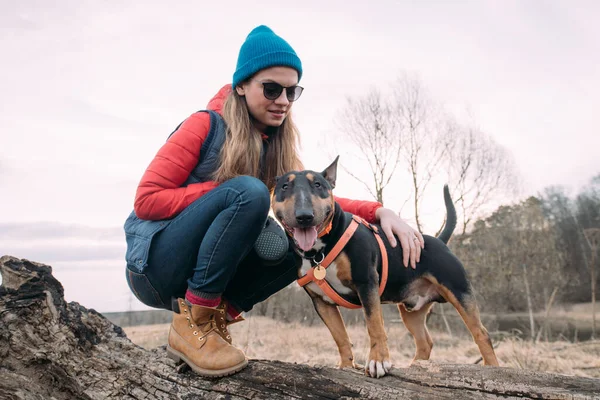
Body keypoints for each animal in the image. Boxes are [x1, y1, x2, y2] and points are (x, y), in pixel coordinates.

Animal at [270, 156, 496, 378]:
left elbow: (374, 325)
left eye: (318, 184)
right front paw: (346, 366)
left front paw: (378, 362)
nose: (304, 215)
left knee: (481, 333)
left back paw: (493, 368)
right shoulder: (321, 302)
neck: (318, 251)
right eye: (284, 186)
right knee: (425, 342)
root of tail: (439, 240)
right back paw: (415, 368)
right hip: (411, 311)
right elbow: (340, 336)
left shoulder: (366, 283)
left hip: (459, 293)